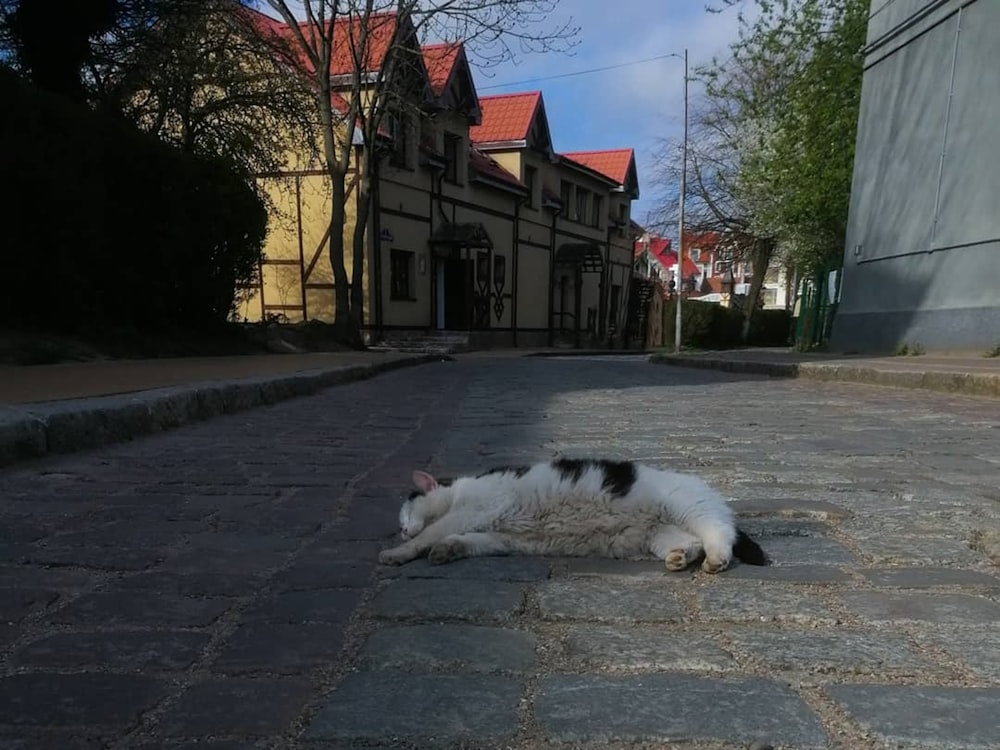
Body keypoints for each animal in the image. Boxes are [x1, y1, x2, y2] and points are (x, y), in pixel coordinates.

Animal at [378, 458, 768, 576]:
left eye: (405, 514)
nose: (400, 531)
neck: (458, 491)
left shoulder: (476, 507)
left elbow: (432, 533)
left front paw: (398, 552)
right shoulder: (497, 537)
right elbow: (464, 541)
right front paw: (446, 551)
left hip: (689, 507)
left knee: (720, 532)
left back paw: (716, 559)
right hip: (657, 534)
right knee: (691, 542)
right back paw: (681, 558)